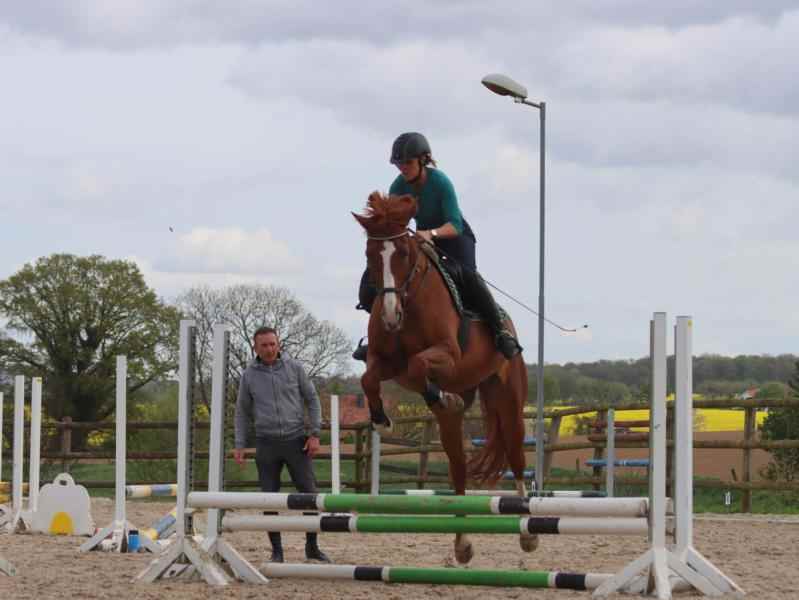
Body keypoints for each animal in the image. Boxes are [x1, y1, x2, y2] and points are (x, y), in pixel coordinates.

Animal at [352, 191, 536, 563]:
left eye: (403, 253)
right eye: (370, 255)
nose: (390, 316)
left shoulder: (447, 355)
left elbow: (418, 365)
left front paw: (437, 394)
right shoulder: (382, 361)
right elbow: (370, 380)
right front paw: (380, 418)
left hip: (510, 404)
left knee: (516, 458)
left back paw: (527, 534)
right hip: (455, 424)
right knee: (458, 470)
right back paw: (462, 543)